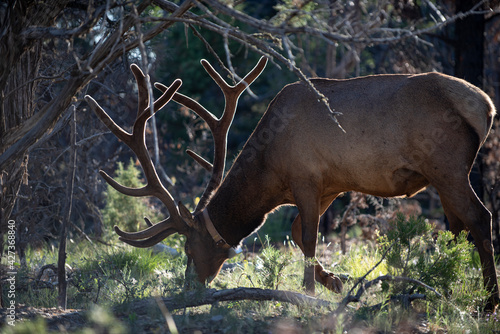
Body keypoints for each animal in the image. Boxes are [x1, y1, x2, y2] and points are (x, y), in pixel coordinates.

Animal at [84, 56, 498, 310]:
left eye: (188, 249)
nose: (189, 288)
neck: (271, 169)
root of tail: (485, 106)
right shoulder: (331, 184)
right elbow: (299, 233)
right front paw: (335, 283)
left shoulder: (306, 178)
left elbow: (309, 237)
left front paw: (310, 295)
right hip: (442, 176)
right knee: (456, 227)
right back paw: (443, 285)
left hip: (447, 165)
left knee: (480, 217)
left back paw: (489, 298)